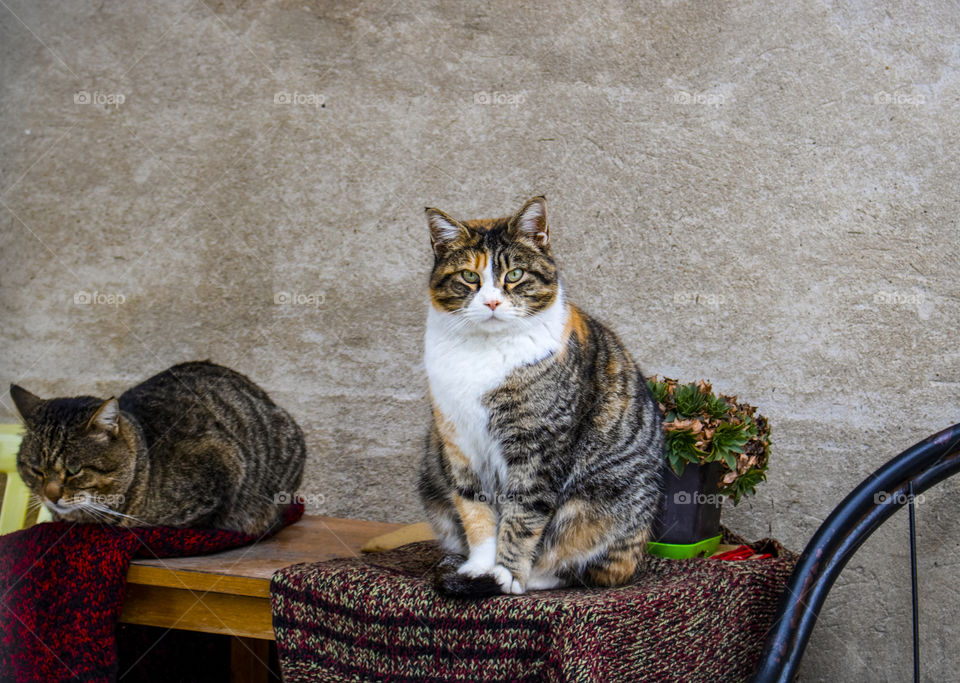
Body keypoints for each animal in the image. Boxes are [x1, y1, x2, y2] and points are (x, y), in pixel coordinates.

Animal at [420, 195, 668, 596]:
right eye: (470, 277)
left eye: (515, 274)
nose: (491, 303)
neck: (483, 354)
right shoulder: (458, 443)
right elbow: (474, 509)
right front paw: (479, 566)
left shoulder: (537, 447)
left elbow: (523, 514)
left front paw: (505, 574)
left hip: (603, 503)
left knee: (579, 565)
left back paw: (531, 577)